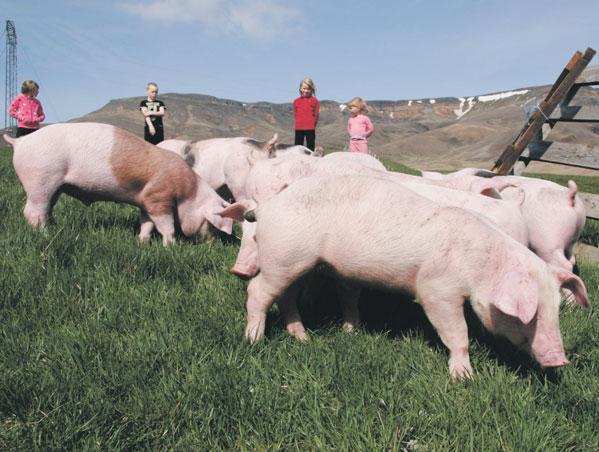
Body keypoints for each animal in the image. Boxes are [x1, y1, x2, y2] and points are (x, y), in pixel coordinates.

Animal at [1, 122, 232, 245]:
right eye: (212, 225)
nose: (211, 244)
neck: (187, 192)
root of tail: (19, 141)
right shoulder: (158, 198)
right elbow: (166, 225)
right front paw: (171, 246)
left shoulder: (145, 201)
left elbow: (146, 223)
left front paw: (142, 242)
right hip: (40, 180)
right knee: (32, 212)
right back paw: (46, 235)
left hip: (53, 187)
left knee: (46, 209)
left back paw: (54, 228)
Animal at [219, 175, 592, 380]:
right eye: (532, 314)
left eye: (555, 311)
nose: (560, 360)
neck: (480, 265)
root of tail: (268, 207)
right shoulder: (436, 290)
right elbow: (457, 332)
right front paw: (464, 378)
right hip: (283, 257)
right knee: (257, 291)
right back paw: (254, 340)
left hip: (299, 262)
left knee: (287, 297)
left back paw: (303, 339)